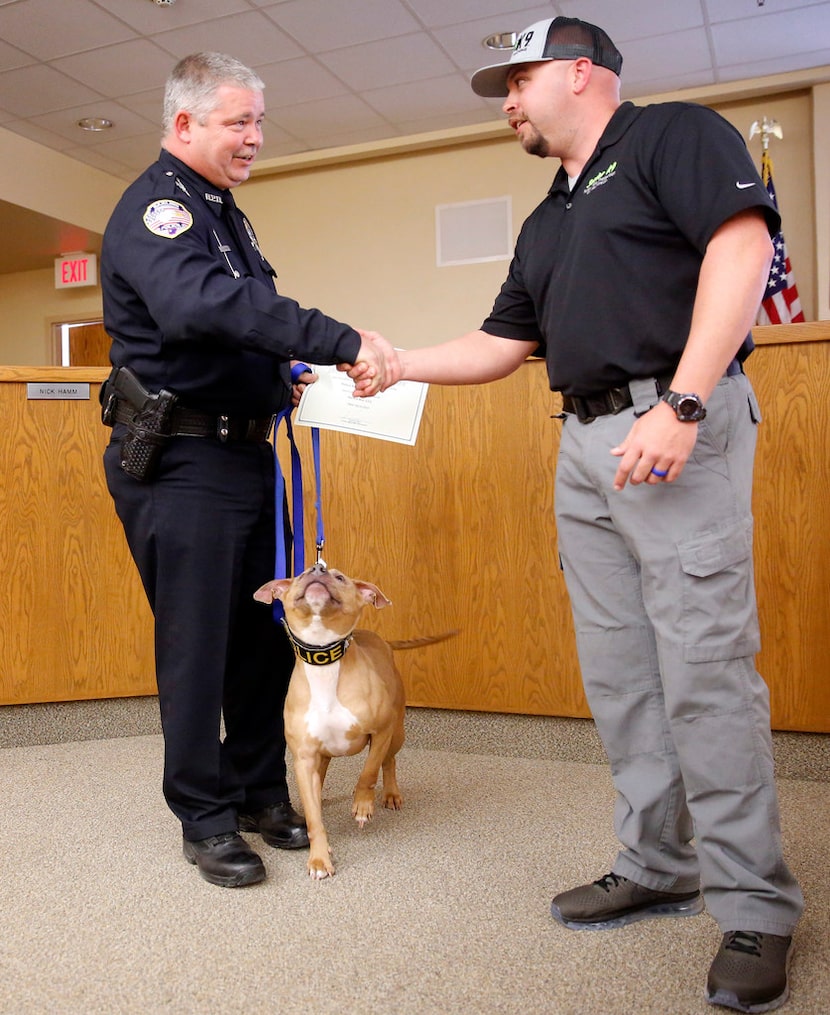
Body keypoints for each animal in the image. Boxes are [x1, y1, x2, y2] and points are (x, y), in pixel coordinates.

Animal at [252, 564, 452, 881]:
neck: (325, 665)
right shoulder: (304, 758)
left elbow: (368, 773)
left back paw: (391, 793)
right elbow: (313, 819)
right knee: (322, 776)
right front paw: (319, 858)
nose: (317, 568)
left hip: (396, 733)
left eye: (340, 577)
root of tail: (381, 640)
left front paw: (362, 806)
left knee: (389, 761)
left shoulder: (380, 732)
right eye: (301, 574)